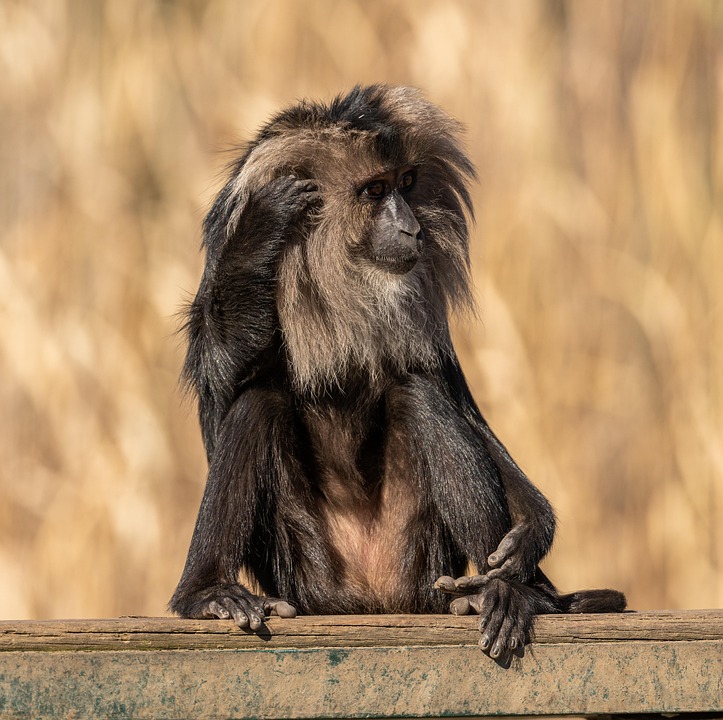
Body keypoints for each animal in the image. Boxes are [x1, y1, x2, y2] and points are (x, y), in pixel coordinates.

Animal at [170, 84, 625, 663]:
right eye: (374, 190)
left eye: (406, 183)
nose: (412, 227)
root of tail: (373, 597)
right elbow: (221, 381)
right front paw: (262, 225)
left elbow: (453, 398)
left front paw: (530, 536)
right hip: (305, 571)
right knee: (257, 402)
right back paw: (206, 594)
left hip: (421, 560)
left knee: (419, 393)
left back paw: (506, 591)